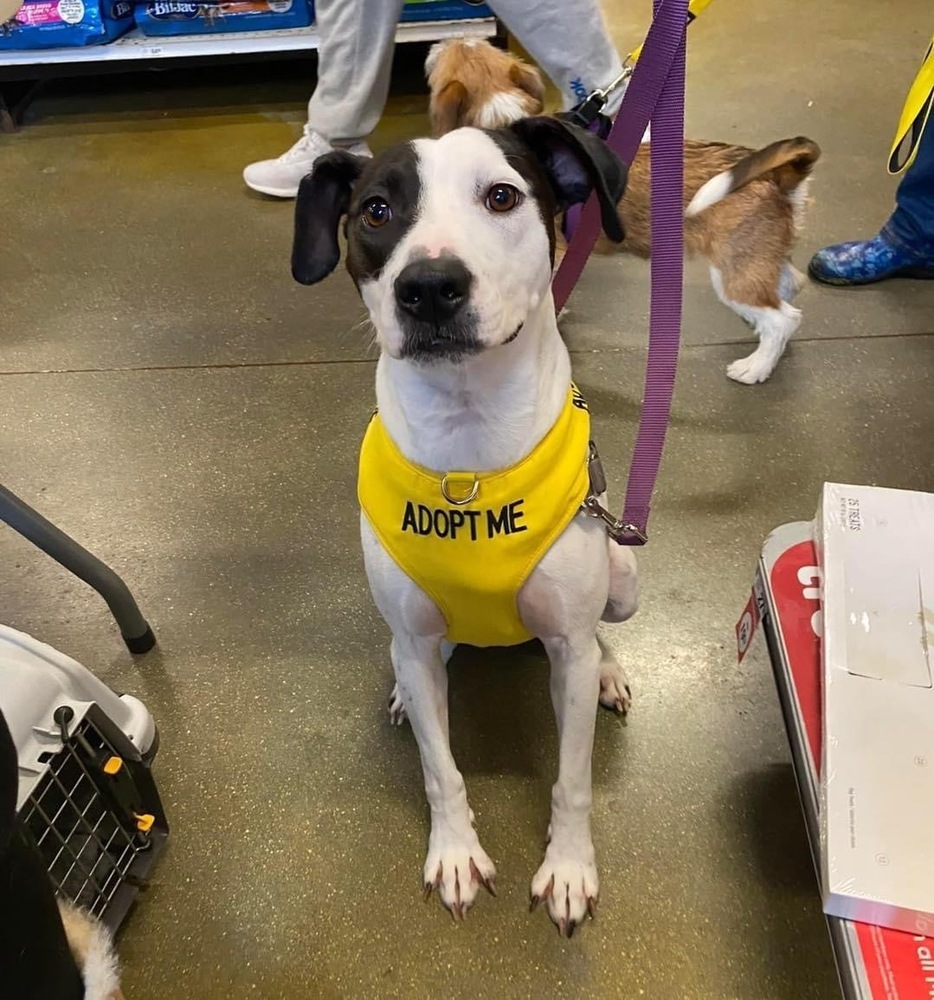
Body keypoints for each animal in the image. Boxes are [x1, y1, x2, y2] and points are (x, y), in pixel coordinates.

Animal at [294, 117, 644, 936]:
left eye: (502, 196)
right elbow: (439, 769)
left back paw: (609, 670)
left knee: (601, 632)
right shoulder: (416, 639)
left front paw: (569, 869)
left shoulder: (568, 644)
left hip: (625, 574)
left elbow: (572, 779)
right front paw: (454, 853)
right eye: (376, 212)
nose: (427, 288)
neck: (469, 442)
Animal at [428, 39, 824, 384]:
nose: (436, 46)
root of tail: (780, 172)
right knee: (789, 287)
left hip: (733, 274)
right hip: (758, 258)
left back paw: (756, 366)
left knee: (784, 320)